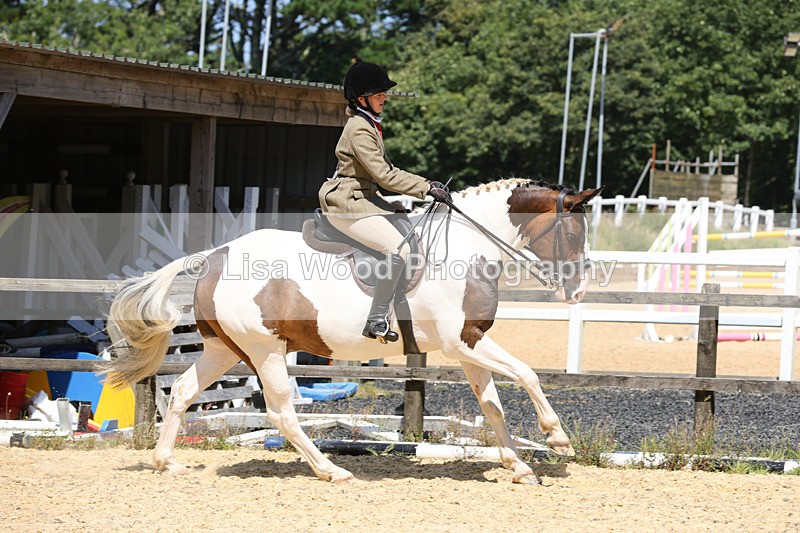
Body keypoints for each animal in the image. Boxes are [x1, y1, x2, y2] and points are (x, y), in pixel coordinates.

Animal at [103, 178, 602, 485]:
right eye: (574, 235)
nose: (577, 290)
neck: (466, 246)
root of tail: (215, 256)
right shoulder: (463, 341)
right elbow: (528, 374)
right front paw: (558, 439)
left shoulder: (467, 345)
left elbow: (493, 407)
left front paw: (520, 468)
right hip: (264, 350)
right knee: (282, 413)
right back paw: (332, 471)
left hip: (224, 349)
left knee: (184, 390)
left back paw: (166, 462)